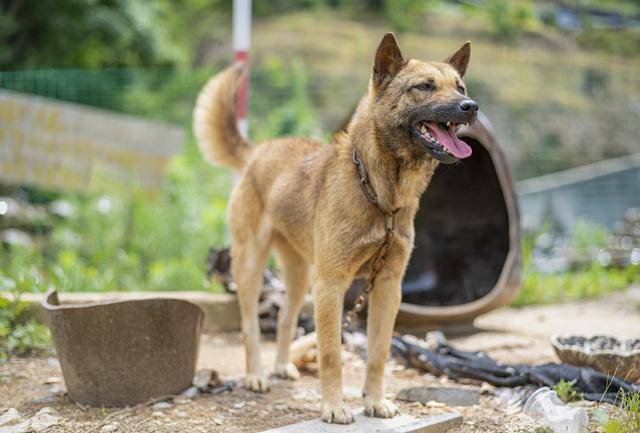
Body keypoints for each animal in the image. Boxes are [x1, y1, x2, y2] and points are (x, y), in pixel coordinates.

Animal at [192, 33, 478, 422]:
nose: (471, 106)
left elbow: (378, 353)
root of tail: (259, 151)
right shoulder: (331, 285)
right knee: (250, 326)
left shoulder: (387, 288)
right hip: (252, 267)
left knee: (285, 320)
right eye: (424, 87)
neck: (379, 194)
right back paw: (256, 376)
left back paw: (281, 366)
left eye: (460, 86)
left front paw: (375, 401)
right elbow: (330, 354)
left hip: (300, 278)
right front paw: (334, 406)